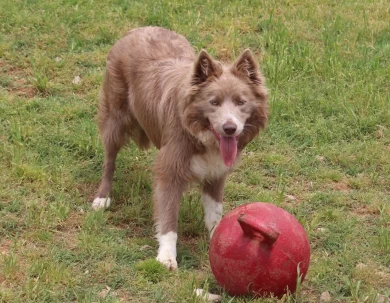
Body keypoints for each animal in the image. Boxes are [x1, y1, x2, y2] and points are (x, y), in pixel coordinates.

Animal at [93, 26, 268, 270]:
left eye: (241, 102)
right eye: (214, 102)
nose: (230, 128)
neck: (200, 135)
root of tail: (139, 28)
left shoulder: (216, 174)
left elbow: (214, 213)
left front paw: (219, 240)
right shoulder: (170, 171)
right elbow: (168, 219)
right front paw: (166, 257)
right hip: (114, 119)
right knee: (109, 161)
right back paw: (102, 198)